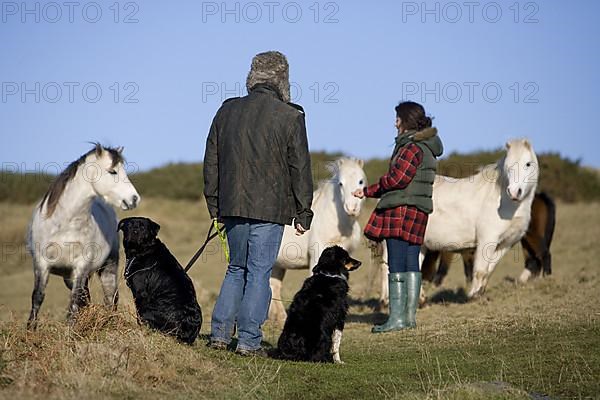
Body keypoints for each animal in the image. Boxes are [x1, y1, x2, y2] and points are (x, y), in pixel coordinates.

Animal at [27, 144, 140, 328]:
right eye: (113, 171)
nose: (134, 199)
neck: (64, 225)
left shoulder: (81, 265)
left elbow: (74, 301)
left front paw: (70, 331)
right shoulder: (41, 264)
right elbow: (37, 297)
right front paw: (30, 330)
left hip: (108, 266)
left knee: (110, 297)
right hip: (69, 276)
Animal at [117, 216, 202, 344]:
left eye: (143, 227)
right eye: (129, 225)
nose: (135, 231)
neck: (141, 251)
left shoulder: (140, 293)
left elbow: (138, 314)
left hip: (149, 309)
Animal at [376, 139, 540, 302]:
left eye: (528, 164)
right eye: (508, 165)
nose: (514, 192)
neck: (505, 202)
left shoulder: (507, 243)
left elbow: (489, 270)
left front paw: (479, 292)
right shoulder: (487, 239)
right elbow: (480, 270)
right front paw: (473, 295)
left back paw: (420, 299)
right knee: (387, 266)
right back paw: (386, 300)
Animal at [422, 192, 556, 286]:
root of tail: (540, 196)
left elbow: (444, 268)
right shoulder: (465, 251)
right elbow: (468, 270)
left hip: (532, 235)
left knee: (544, 254)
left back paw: (546, 279)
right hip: (525, 239)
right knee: (532, 260)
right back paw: (522, 281)